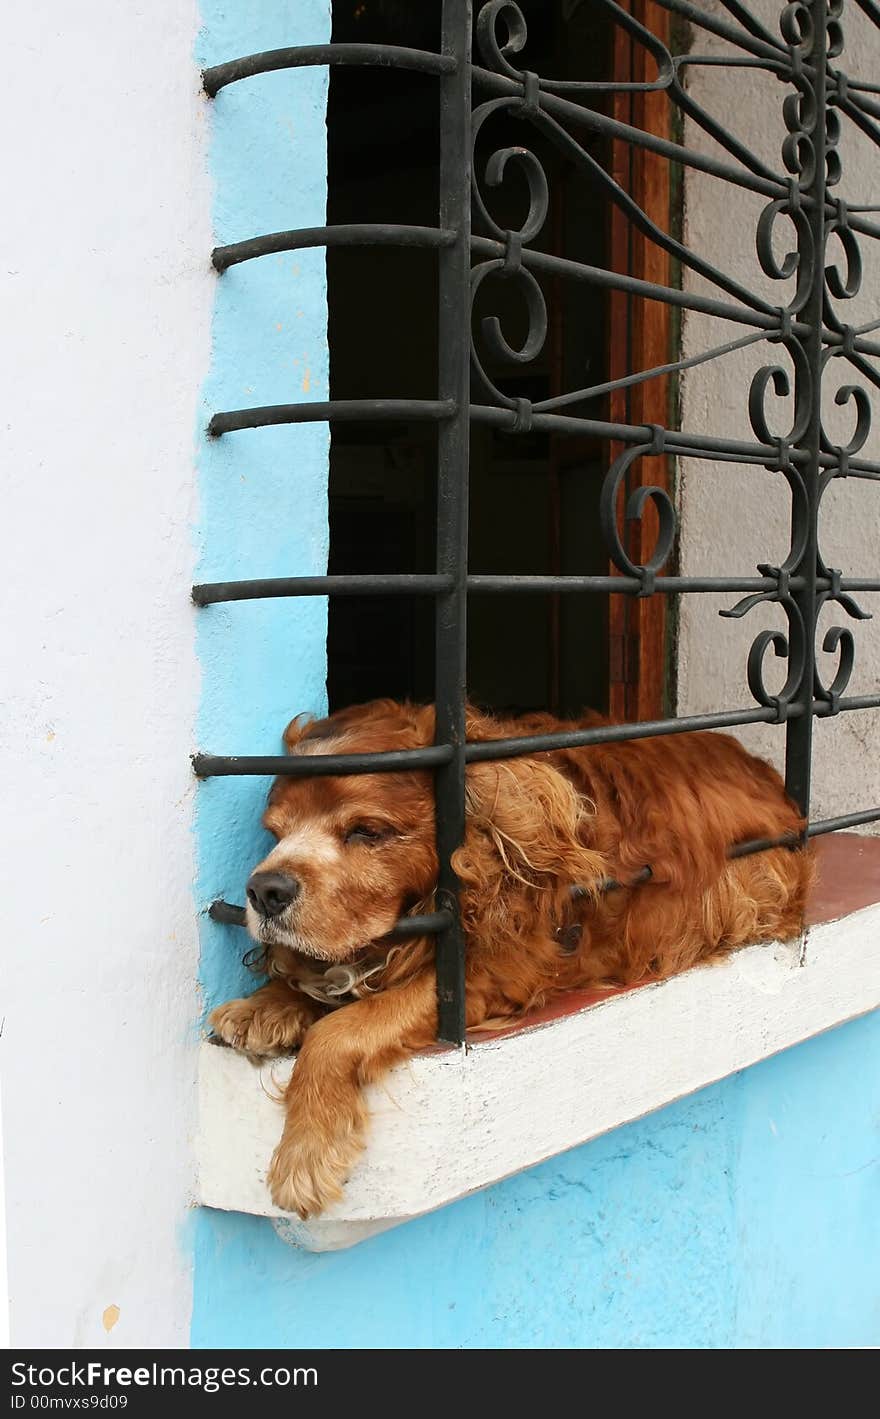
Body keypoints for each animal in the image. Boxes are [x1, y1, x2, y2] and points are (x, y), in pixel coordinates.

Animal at [210, 692, 811, 1214]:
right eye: (275, 833)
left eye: (366, 831)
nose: (264, 891)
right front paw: (266, 1004)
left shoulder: (498, 970)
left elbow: (342, 1030)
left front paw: (305, 1154)